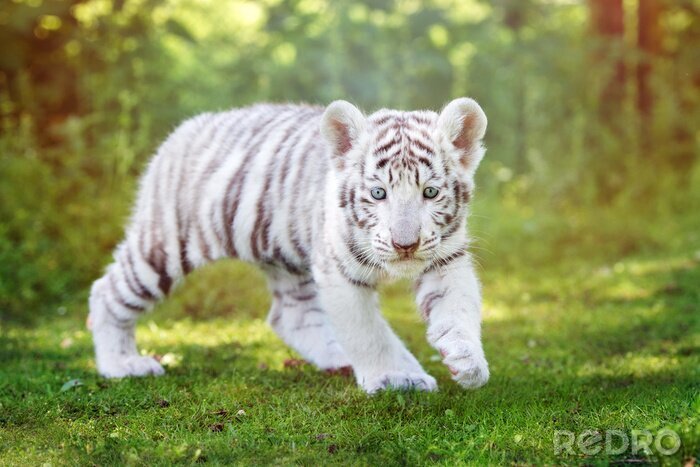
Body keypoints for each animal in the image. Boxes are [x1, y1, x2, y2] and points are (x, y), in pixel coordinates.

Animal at [88, 97, 490, 394]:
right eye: (379, 194)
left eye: (430, 192)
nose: (405, 245)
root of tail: (184, 130)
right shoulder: (339, 271)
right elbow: (368, 332)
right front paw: (396, 377)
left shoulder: (446, 259)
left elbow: (459, 309)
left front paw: (466, 360)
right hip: (164, 246)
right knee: (107, 291)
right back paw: (122, 364)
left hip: (286, 259)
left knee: (289, 316)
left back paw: (337, 357)